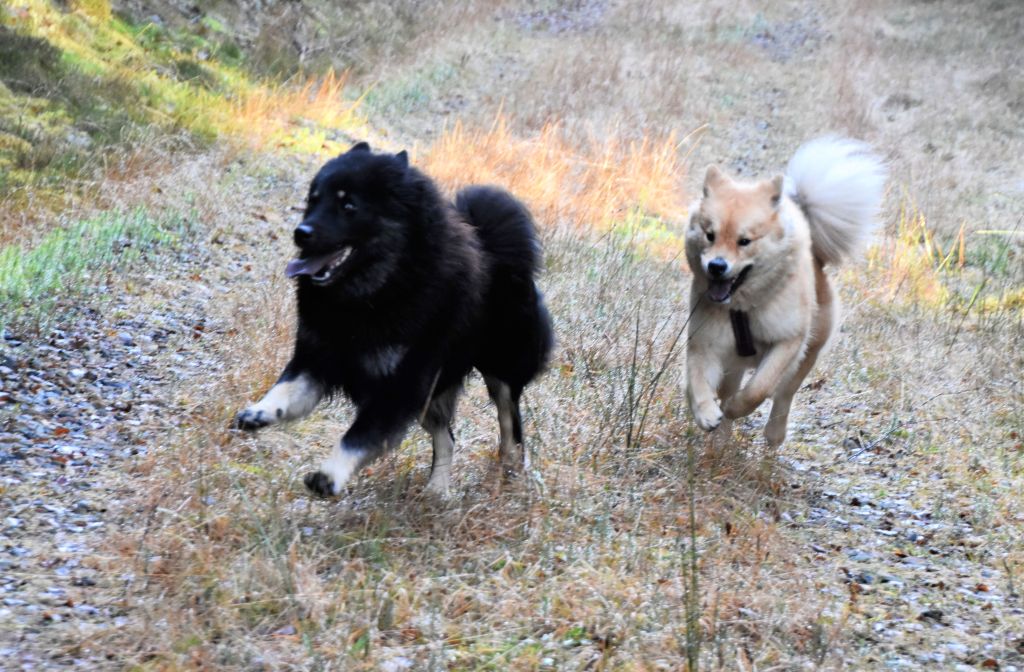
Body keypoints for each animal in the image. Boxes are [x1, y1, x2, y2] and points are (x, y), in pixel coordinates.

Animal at [234, 142, 553, 497]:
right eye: (313, 200)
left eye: (349, 205)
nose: (300, 233)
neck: (374, 292)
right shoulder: (317, 358)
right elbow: (286, 390)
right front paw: (260, 411)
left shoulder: (400, 386)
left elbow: (358, 437)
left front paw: (330, 475)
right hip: (432, 394)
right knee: (447, 437)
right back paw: (437, 491)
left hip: (500, 372)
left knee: (511, 426)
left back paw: (511, 468)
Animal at [685, 137, 886, 447]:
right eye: (710, 235)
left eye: (744, 241)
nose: (717, 266)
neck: (742, 309)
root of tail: (816, 258)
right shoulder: (705, 341)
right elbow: (697, 381)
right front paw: (706, 414)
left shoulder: (787, 342)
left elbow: (759, 388)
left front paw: (736, 408)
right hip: (735, 362)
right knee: (729, 388)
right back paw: (720, 442)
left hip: (807, 353)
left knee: (785, 394)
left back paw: (773, 433)